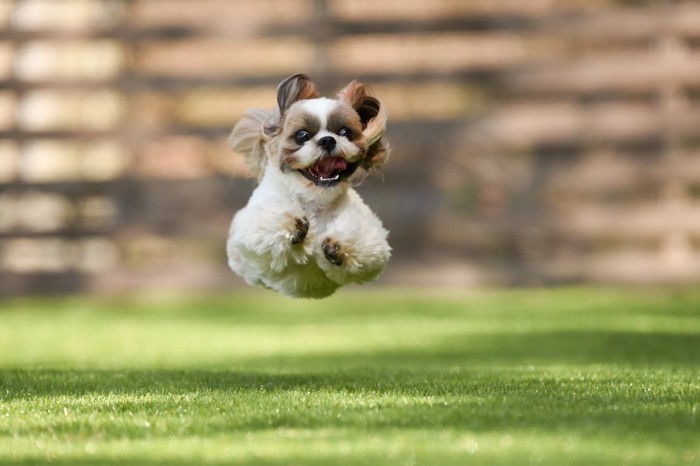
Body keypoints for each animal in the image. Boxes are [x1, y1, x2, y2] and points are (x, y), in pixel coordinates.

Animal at [227, 73, 392, 298]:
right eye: (302, 135)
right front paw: (292, 226)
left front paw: (339, 248)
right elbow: (267, 228)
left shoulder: (371, 238)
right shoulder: (252, 226)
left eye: (345, 132)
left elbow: (367, 249)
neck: (315, 200)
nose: (328, 140)